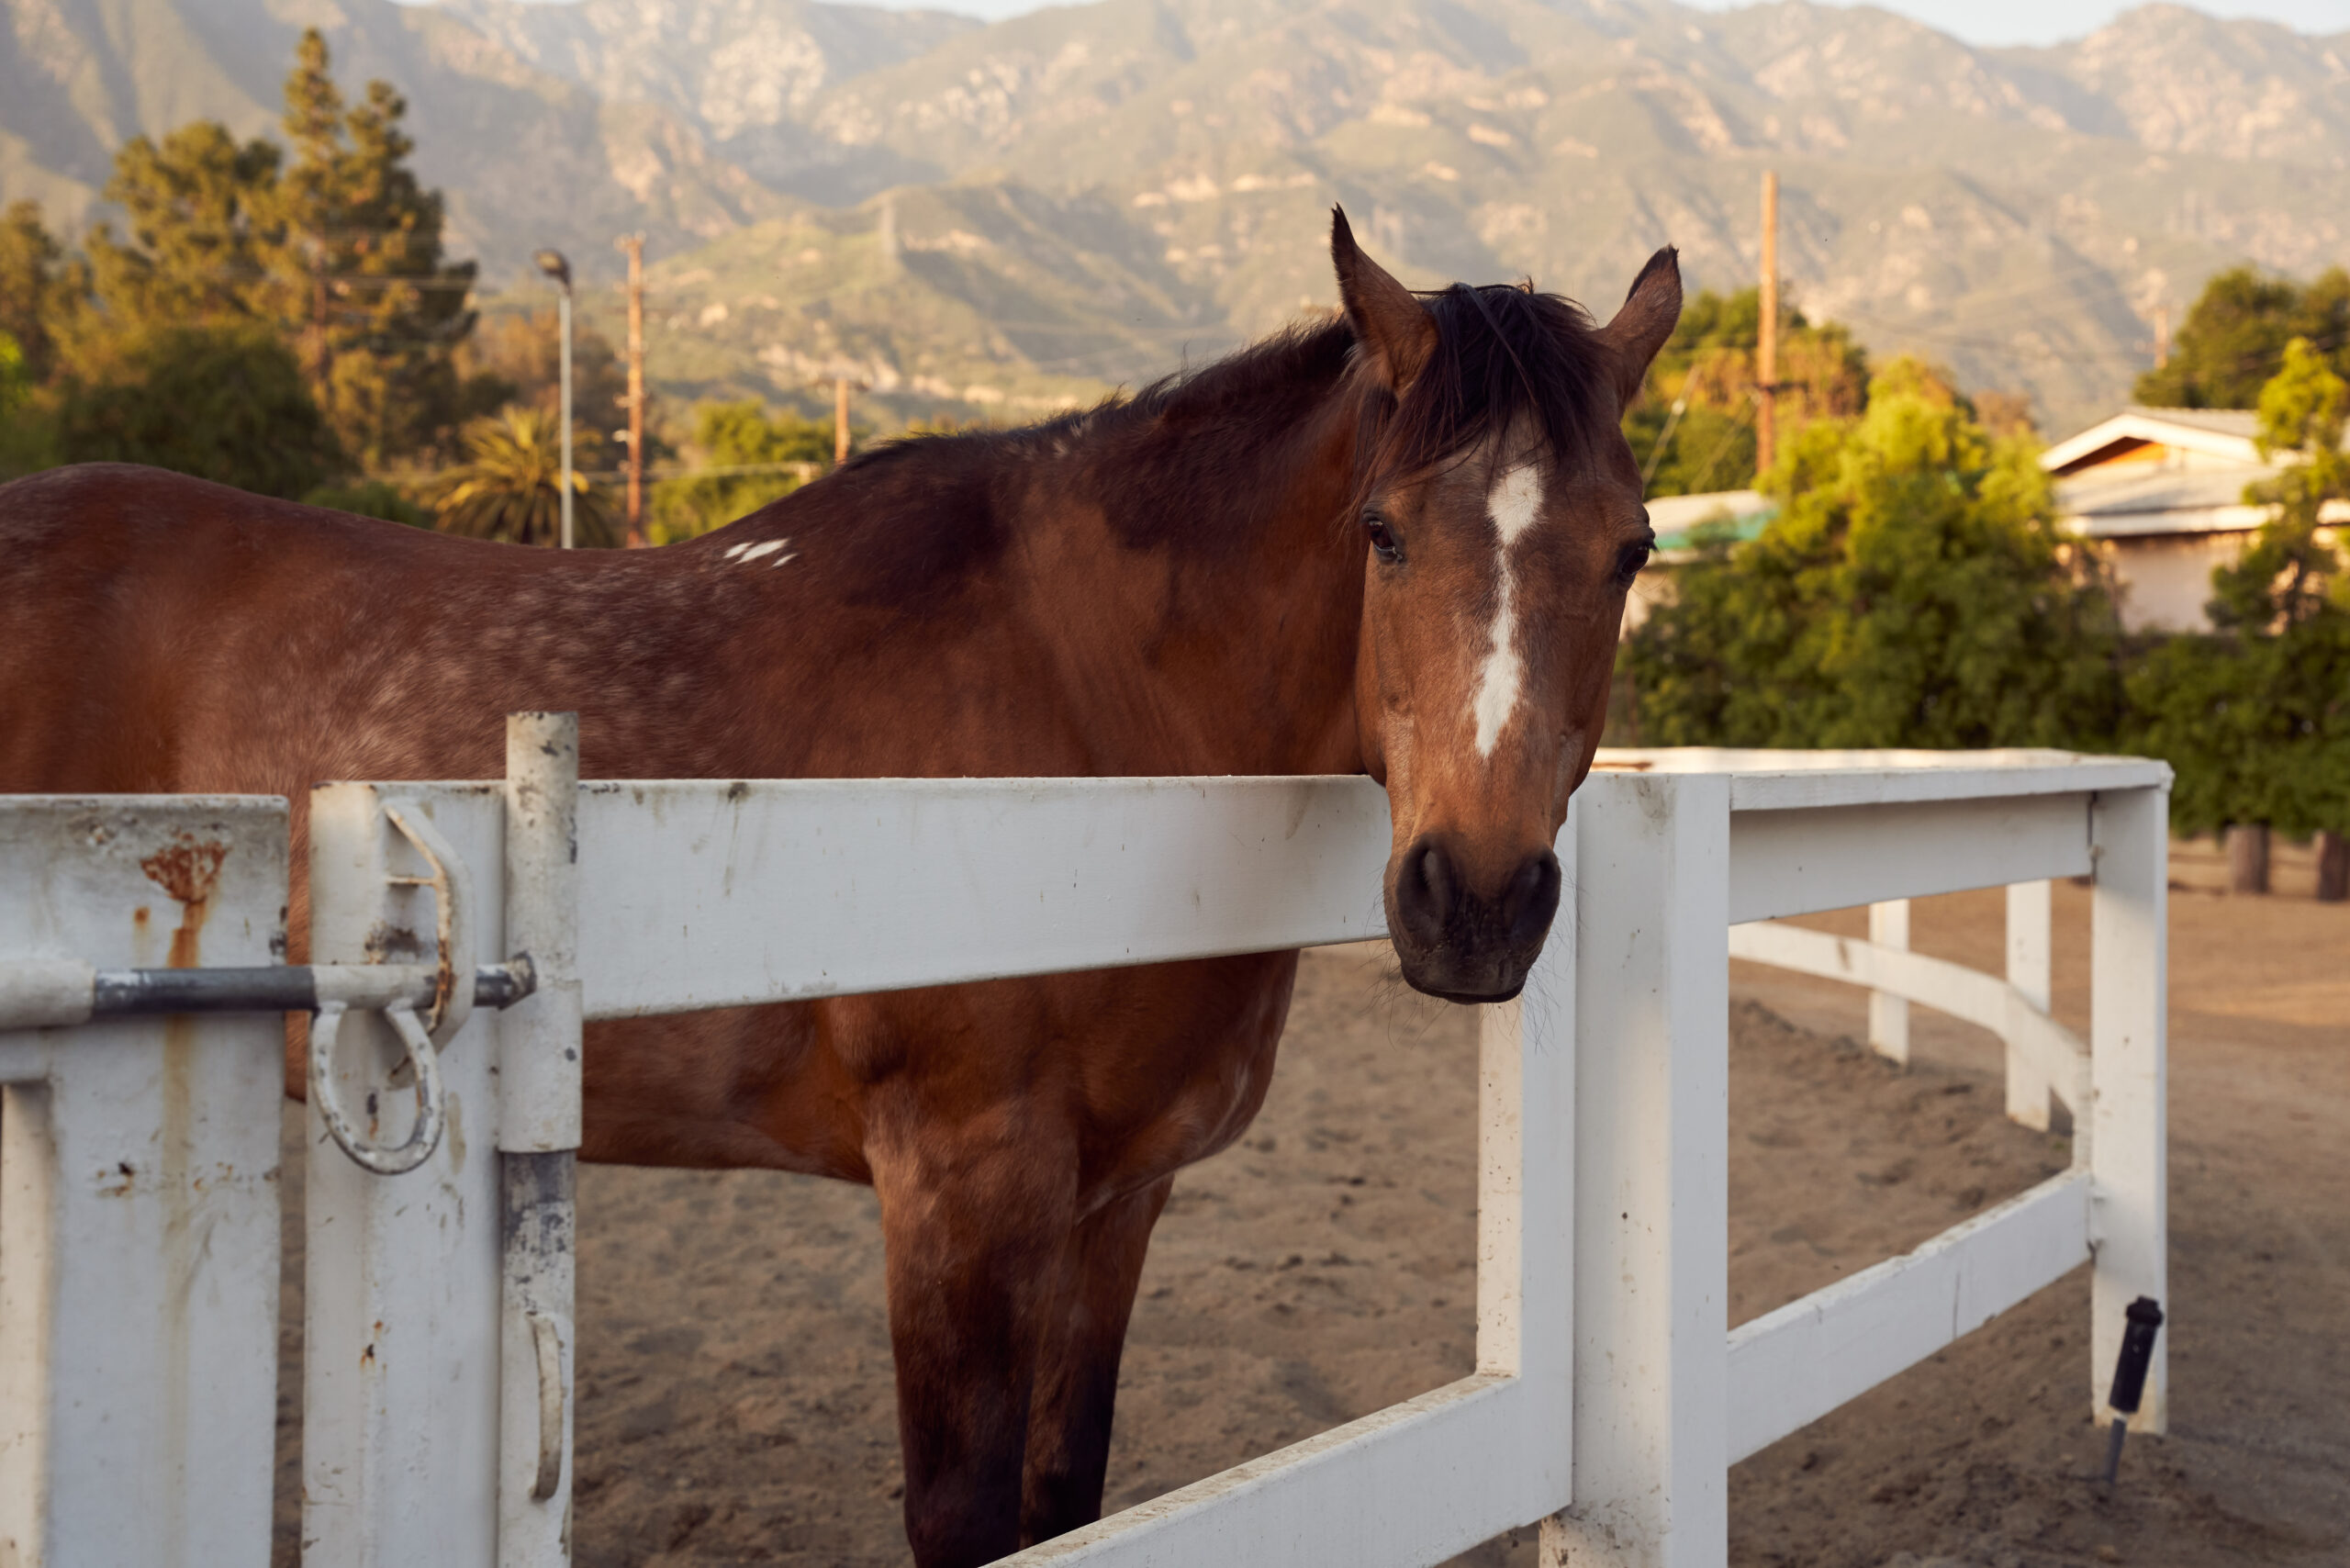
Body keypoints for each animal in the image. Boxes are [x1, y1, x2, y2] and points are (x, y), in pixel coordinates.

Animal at [0, 211, 1673, 1568]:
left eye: (1632, 550)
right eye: (1384, 533)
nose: (1478, 899)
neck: (1083, 706)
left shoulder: (1116, 1200)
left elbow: (1066, 1501)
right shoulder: (959, 1188)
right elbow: (964, 1517)